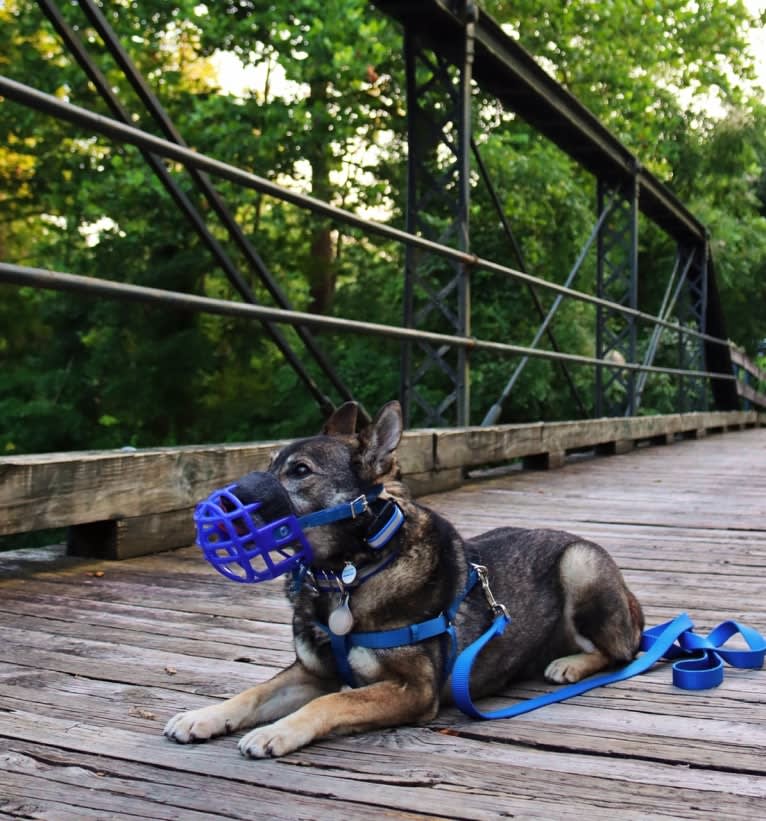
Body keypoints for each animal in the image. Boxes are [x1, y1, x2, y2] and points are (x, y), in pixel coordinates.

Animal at [165, 400, 644, 760]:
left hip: (580, 564)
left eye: (300, 471)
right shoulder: (310, 672)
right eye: (269, 463)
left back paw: (572, 663)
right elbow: (254, 693)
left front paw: (277, 731)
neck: (348, 576)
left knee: (622, 651)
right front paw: (203, 715)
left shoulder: (414, 689)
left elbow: (334, 699)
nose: (209, 511)